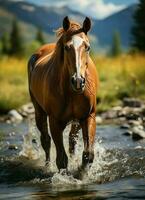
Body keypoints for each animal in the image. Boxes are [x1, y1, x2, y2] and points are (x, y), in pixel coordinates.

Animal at [27, 16, 99, 171]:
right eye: (66, 47)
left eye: (87, 47)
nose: (78, 81)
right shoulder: (55, 122)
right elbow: (61, 159)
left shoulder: (88, 117)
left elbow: (88, 154)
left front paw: (81, 172)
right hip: (39, 112)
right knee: (45, 140)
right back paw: (47, 166)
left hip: (76, 121)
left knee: (72, 141)